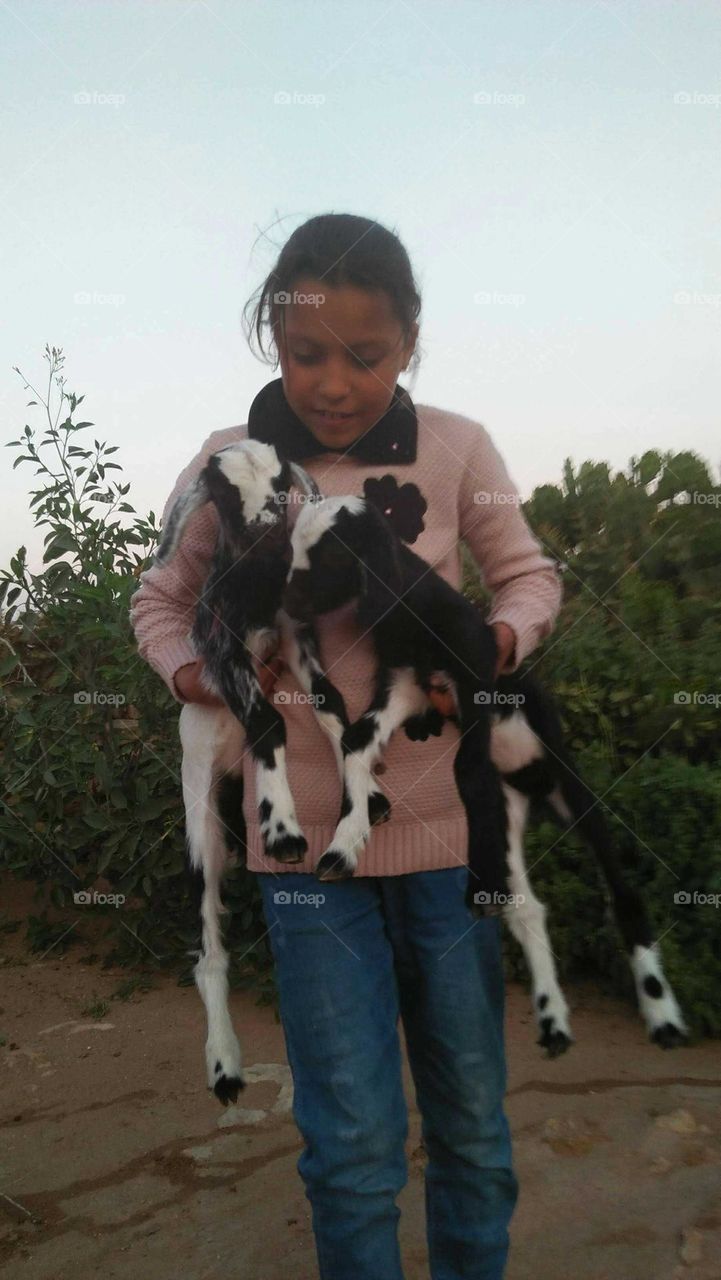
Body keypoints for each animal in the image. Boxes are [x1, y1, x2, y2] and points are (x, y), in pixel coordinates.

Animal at [281, 494, 686, 1054]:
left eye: (331, 555)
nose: (284, 605)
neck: (413, 613)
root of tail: (530, 785)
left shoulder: (473, 677)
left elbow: (466, 769)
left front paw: (470, 888)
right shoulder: (407, 684)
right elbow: (356, 741)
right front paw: (344, 843)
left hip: (571, 787)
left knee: (622, 890)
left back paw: (660, 1012)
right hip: (509, 809)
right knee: (528, 905)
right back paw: (552, 1019)